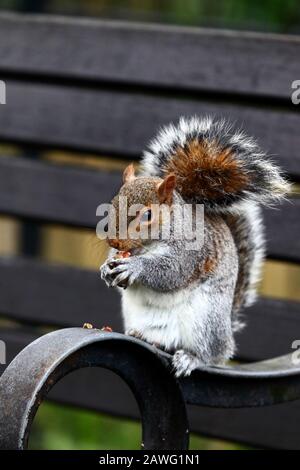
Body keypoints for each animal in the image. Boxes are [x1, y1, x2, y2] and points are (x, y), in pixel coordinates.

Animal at [101, 115, 290, 376]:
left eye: (148, 215)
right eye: (113, 203)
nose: (114, 240)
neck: (149, 245)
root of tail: (227, 330)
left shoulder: (191, 253)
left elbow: (171, 271)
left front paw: (134, 267)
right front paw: (106, 266)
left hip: (205, 320)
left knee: (210, 354)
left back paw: (191, 358)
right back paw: (141, 335)